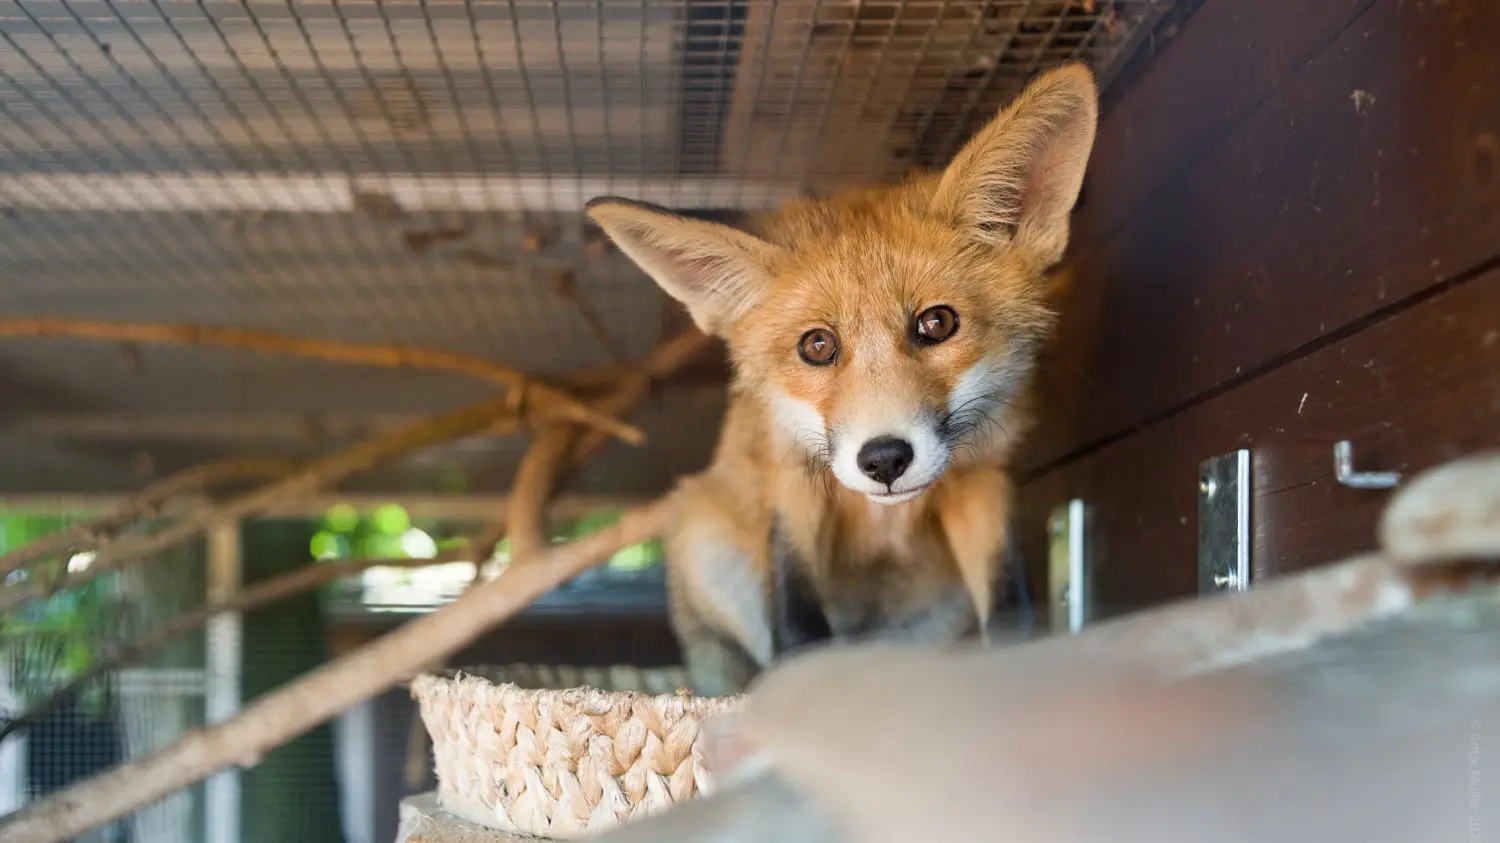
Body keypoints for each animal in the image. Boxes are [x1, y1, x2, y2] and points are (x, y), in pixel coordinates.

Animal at [586, 63, 1099, 696]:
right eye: (818, 346)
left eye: (937, 323)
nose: (884, 459)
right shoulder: (792, 480)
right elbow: (798, 618)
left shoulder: (982, 478)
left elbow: (1008, 600)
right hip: (704, 536)